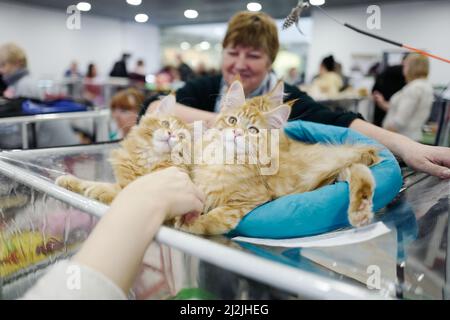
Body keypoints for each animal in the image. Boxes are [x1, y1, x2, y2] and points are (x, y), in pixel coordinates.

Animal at [56, 95, 190, 205]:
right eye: (166, 124)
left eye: (182, 137)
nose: (171, 134)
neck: (149, 158)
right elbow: (93, 183)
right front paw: (70, 181)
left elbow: (127, 192)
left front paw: (102, 191)